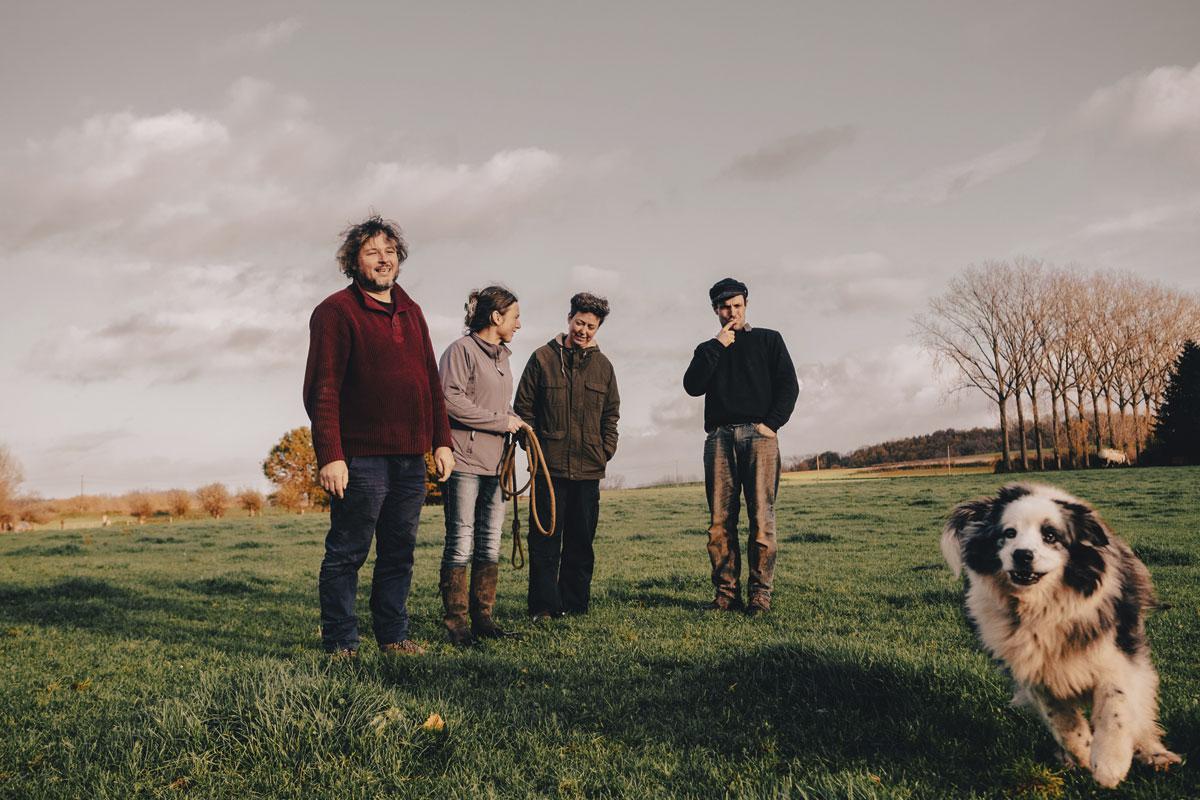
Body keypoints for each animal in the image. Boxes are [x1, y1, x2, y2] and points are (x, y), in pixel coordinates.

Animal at [936, 482, 1180, 786]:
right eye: (1009, 533)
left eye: (1050, 535)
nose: (1022, 554)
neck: (1040, 608)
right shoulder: (1032, 668)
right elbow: (1062, 720)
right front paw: (1083, 753)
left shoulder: (1116, 651)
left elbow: (1116, 706)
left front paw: (1110, 764)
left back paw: (1155, 754)